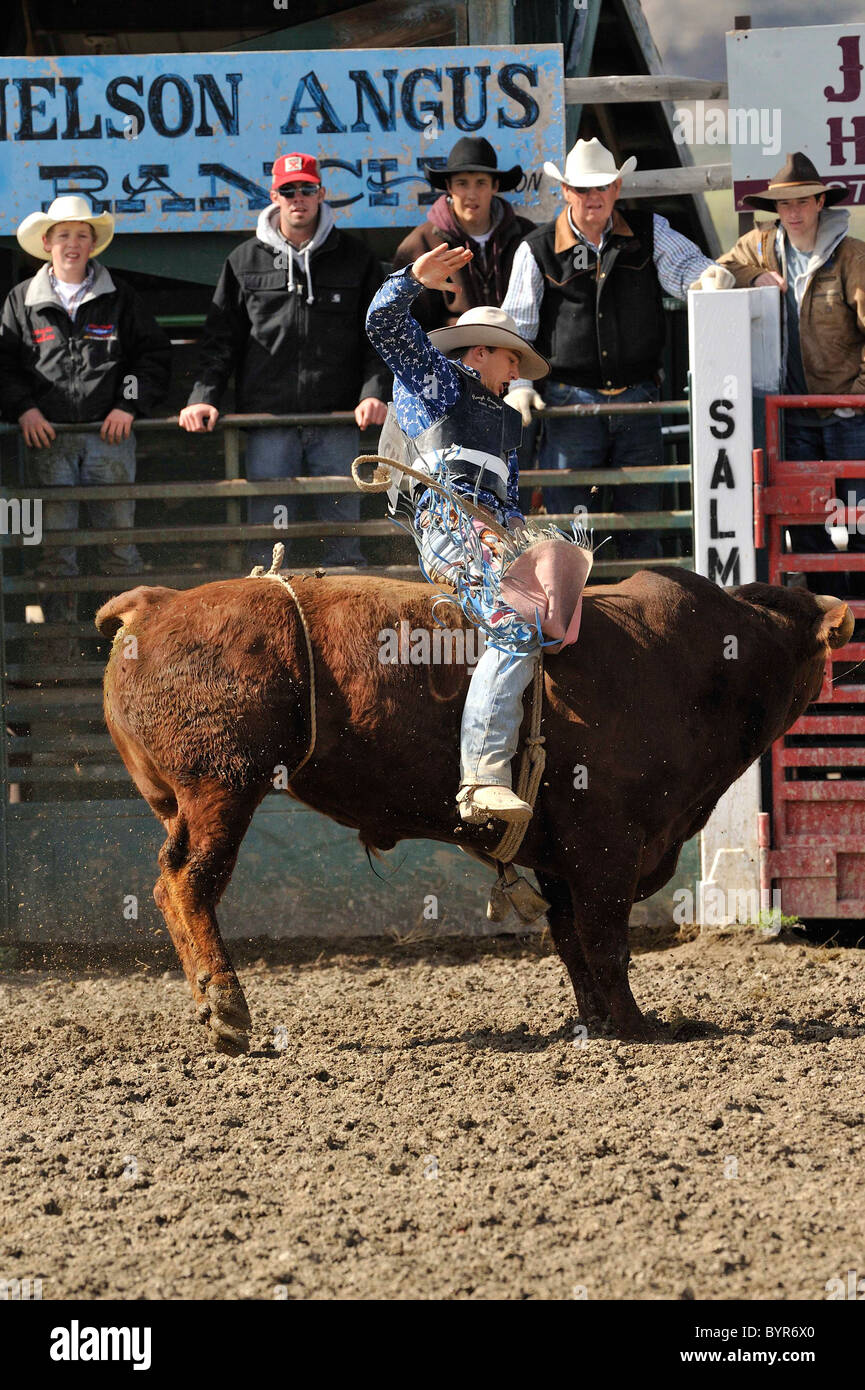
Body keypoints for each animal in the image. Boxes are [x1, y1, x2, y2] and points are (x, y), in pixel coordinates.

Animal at [95, 565, 853, 1054]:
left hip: (185, 798)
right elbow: (606, 941)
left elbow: (573, 943)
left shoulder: (559, 854)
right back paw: (225, 1006)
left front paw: (598, 1022)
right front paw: (640, 1028)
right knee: (188, 882)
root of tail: (154, 603)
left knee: (172, 881)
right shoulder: (606, 842)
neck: (698, 664)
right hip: (222, 784)